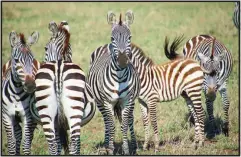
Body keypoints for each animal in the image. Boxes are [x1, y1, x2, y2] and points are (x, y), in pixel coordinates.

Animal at [86, 10, 139, 155]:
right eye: (112, 38)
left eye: (129, 37)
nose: (122, 60)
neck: (119, 77)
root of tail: (105, 46)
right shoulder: (107, 102)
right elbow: (111, 125)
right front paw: (110, 149)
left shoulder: (127, 101)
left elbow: (124, 125)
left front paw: (126, 150)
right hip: (100, 102)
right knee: (106, 121)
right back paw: (106, 144)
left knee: (130, 120)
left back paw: (134, 145)